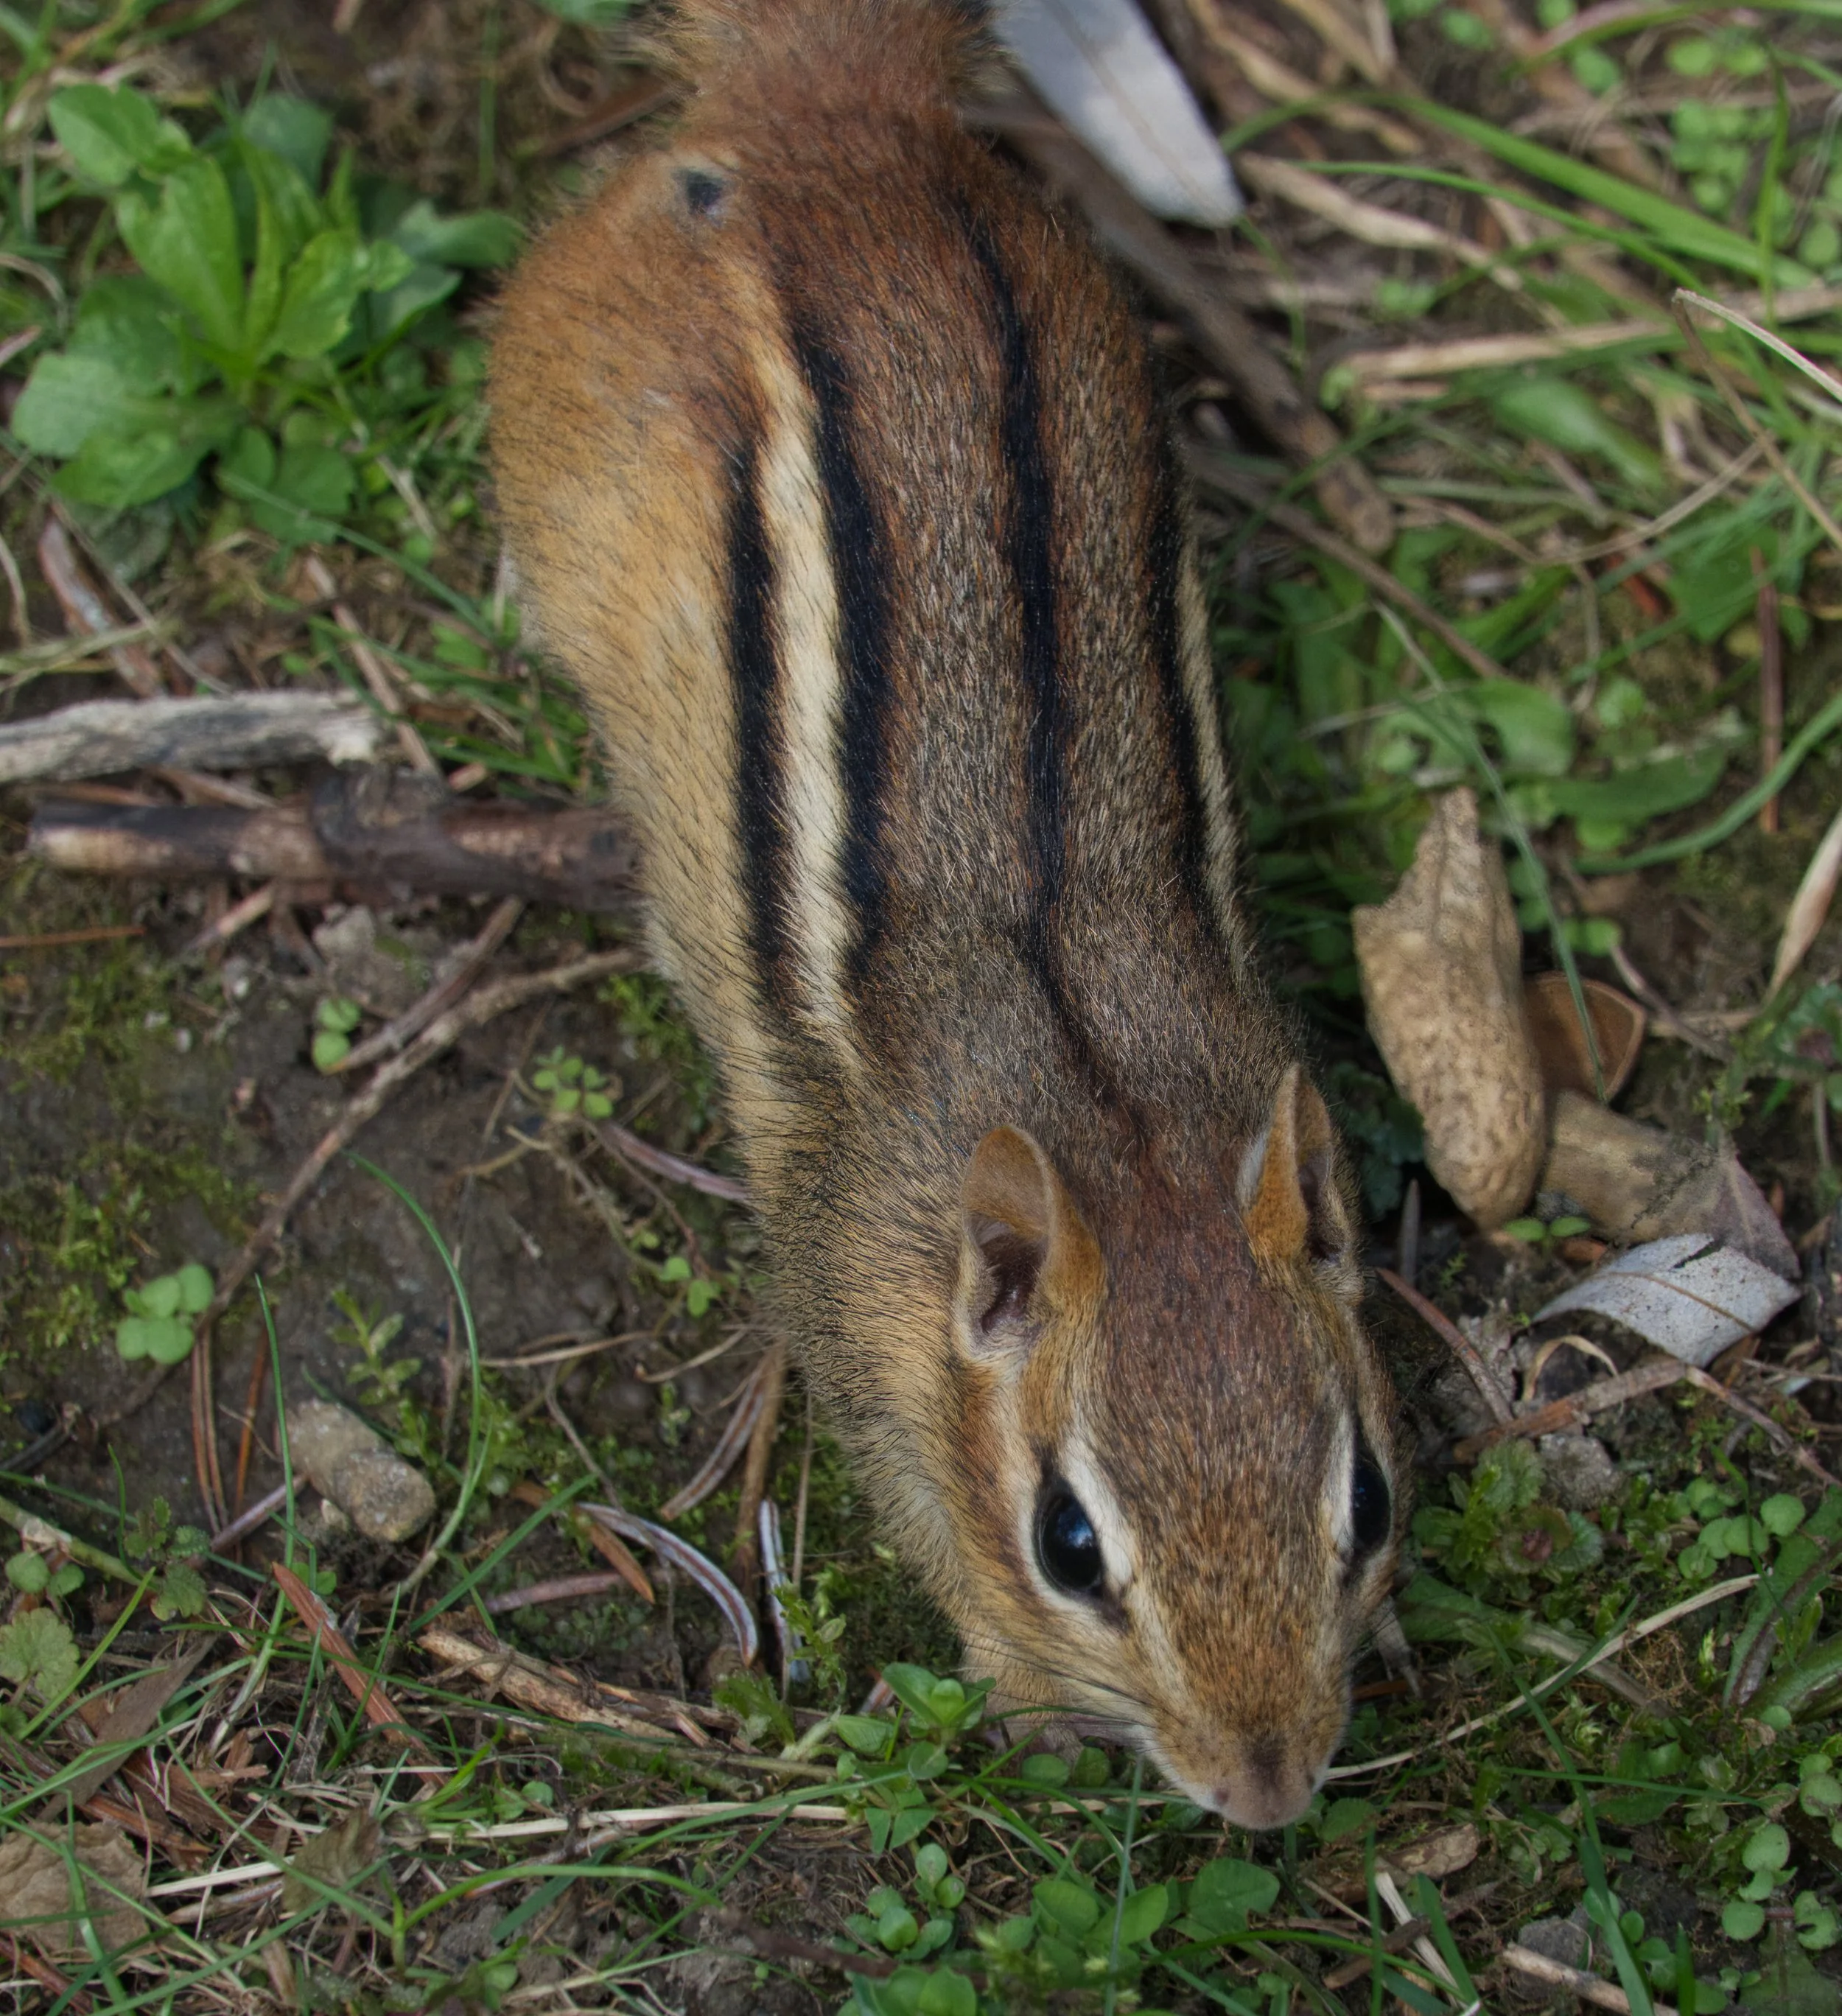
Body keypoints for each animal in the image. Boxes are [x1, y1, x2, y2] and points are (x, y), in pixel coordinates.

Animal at [490, 0, 1400, 1828]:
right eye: (1068, 1545)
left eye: (1371, 1507)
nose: (1267, 1792)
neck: (1112, 1115)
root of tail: (834, 107)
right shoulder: (853, 1326)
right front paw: (1026, 1700)